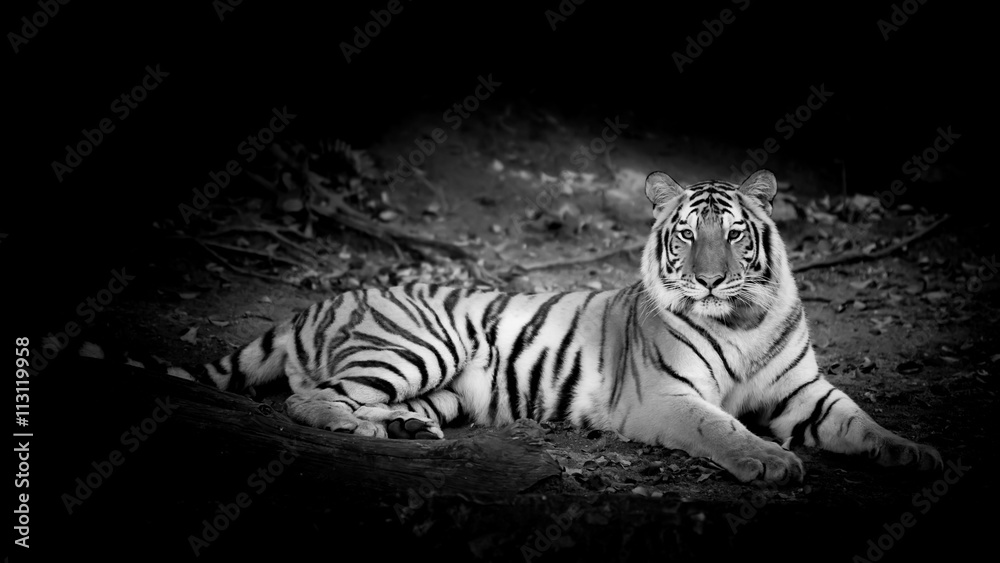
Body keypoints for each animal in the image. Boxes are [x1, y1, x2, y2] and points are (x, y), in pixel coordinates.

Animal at [83, 169, 942, 483]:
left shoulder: (805, 393)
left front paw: (917, 453)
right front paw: (768, 463)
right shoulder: (666, 398)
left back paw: (404, 428)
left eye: (734, 235)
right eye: (683, 235)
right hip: (422, 342)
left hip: (445, 385)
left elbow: (863, 421)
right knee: (306, 395)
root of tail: (318, 301)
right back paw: (366, 429)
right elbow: (723, 428)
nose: (705, 278)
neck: (743, 317)